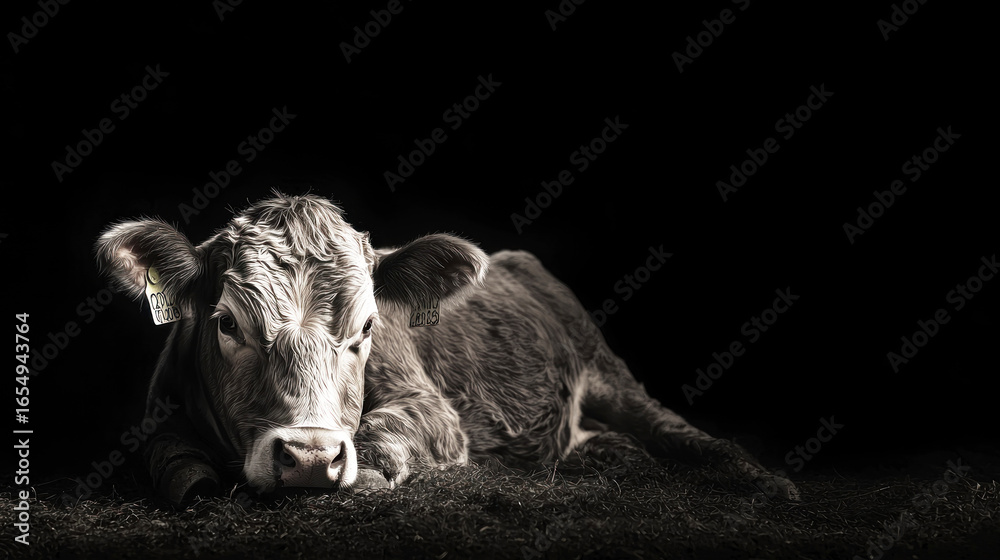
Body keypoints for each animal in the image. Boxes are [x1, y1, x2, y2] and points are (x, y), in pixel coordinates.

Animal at [95, 192, 797, 505]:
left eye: (369, 328)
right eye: (226, 324)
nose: (311, 456)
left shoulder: (434, 409)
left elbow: (387, 433)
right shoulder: (153, 415)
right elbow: (169, 456)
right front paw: (194, 476)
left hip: (606, 370)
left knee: (674, 428)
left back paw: (764, 480)